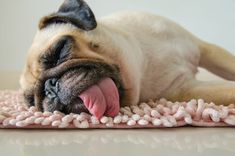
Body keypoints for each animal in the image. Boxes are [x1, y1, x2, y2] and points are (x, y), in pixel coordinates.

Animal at [19, 0, 235, 117]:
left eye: (60, 49)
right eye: (31, 101)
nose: (50, 86)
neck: (142, 57)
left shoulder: (205, 49)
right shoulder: (186, 90)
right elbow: (228, 91)